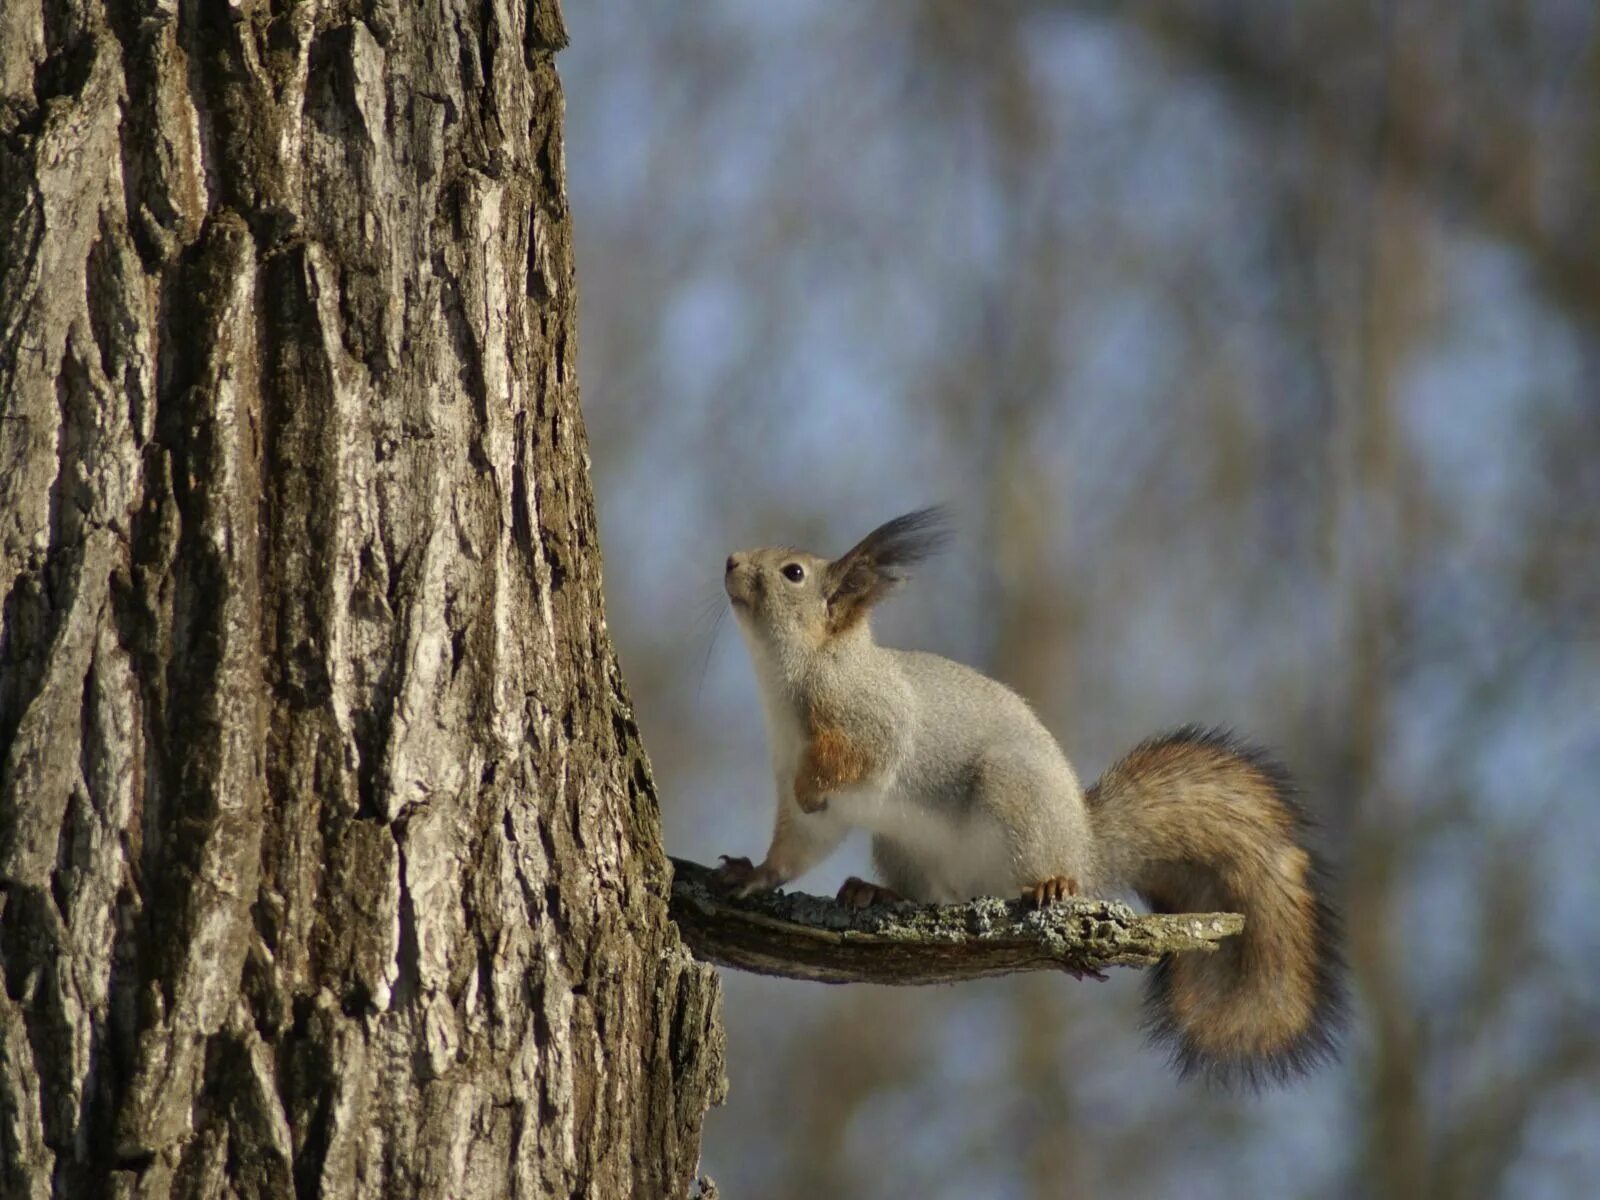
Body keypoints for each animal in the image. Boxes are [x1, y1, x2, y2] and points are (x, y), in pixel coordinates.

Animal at [713, 508, 1337, 1088]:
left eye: (793, 572)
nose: (731, 561)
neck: (794, 680)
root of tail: (1084, 843)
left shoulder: (872, 719)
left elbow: (864, 757)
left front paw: (811, 787)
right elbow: (799, 844)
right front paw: (755, 872)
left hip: (1012, 797)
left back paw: (1051, 885)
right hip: (904, 844)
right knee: (932, 893)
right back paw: (877, 892)